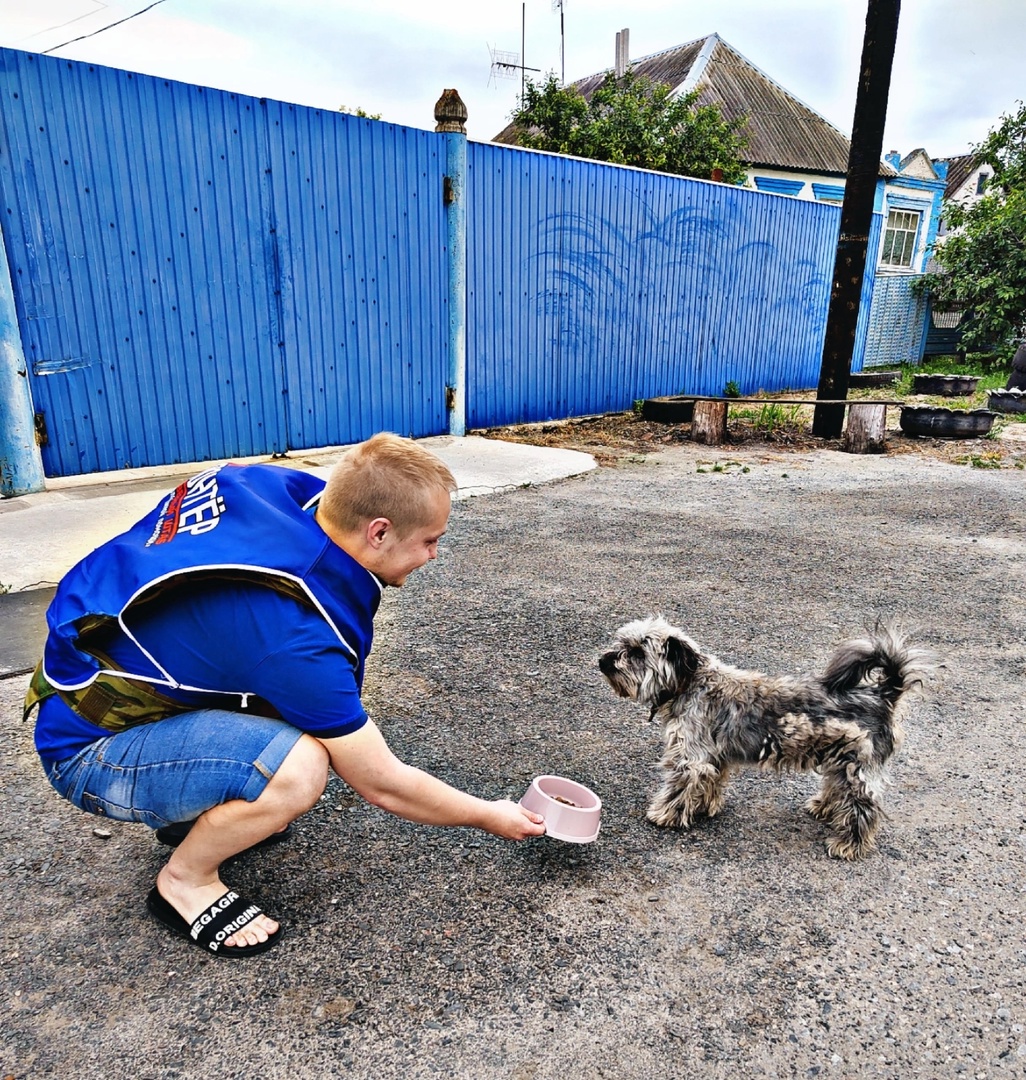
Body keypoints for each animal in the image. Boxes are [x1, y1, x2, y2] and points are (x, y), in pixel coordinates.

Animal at [600, 617, 937, 859]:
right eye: (621, 643)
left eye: (637, 652)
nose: (604, 661)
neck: (690, 683)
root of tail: (885, 693)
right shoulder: (713, 758)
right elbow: (711, 783)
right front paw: (705, 807)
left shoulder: (690, 760)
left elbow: (677, 790)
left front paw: (664, 815)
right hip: (840, 763)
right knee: (838, 791)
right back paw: (824, 808)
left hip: (857, 769)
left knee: (863, 807)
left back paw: (849, 845)